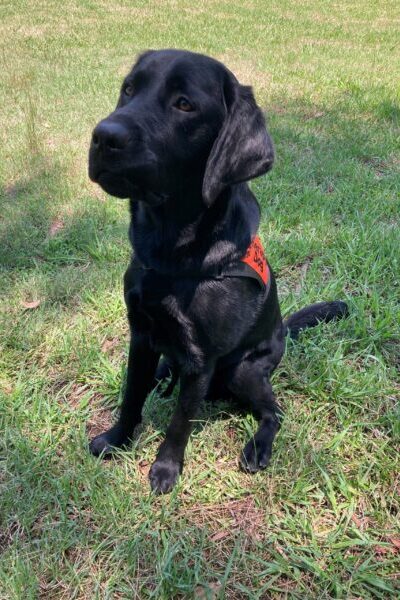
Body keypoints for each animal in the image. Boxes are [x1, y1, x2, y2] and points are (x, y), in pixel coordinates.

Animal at [88, 50, 346, 492]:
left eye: (184, 104)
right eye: (128, 89)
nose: (104, 136)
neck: (171, 252)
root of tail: (283, 330)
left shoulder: (201, 359)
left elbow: (180, 422)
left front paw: (166, 469)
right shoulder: (141, 335)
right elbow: (130, 396)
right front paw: (116, 439)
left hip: (244, 370)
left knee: (274, 411)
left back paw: (258, 447)